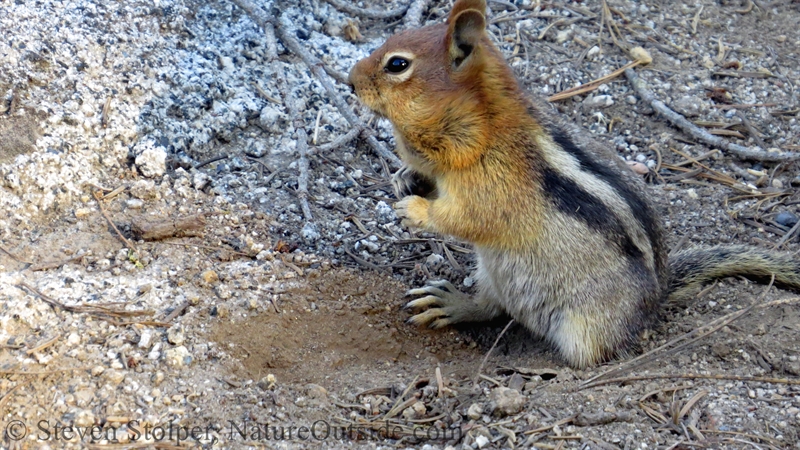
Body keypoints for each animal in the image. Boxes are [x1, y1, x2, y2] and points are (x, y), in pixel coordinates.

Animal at [348, 0, 800, 368]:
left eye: (397, 65)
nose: (350, 80)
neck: (484, 128)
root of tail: (656, 300)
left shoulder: (496, 187)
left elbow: (470, 218)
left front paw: (415, 210)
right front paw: (405, 180)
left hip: (586, 326)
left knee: (590, 351)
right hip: (494, 273)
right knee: (492, 307)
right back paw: (452, 304)